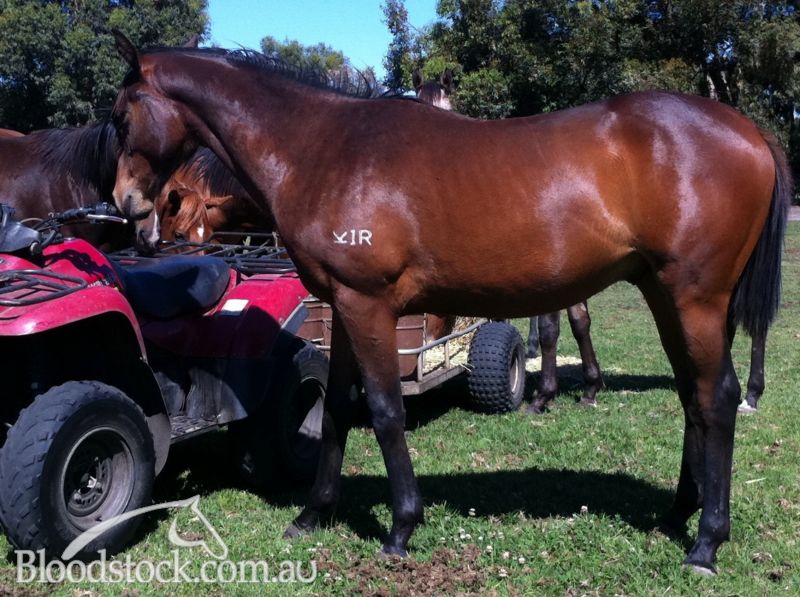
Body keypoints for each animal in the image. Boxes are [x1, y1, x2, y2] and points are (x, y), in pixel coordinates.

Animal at [109, 33, 790, 574]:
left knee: (718, 397)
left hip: (696, 298)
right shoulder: (343, 309)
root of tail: (751, 131)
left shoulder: (368, 306)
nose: (127, 208)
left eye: (119, 117)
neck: (323, 147)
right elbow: (336, 411)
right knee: (692, 397)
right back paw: (680, 510)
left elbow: (384, 411)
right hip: (664, 293)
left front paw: (401, 528)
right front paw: (313, 514)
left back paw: (706, 541)